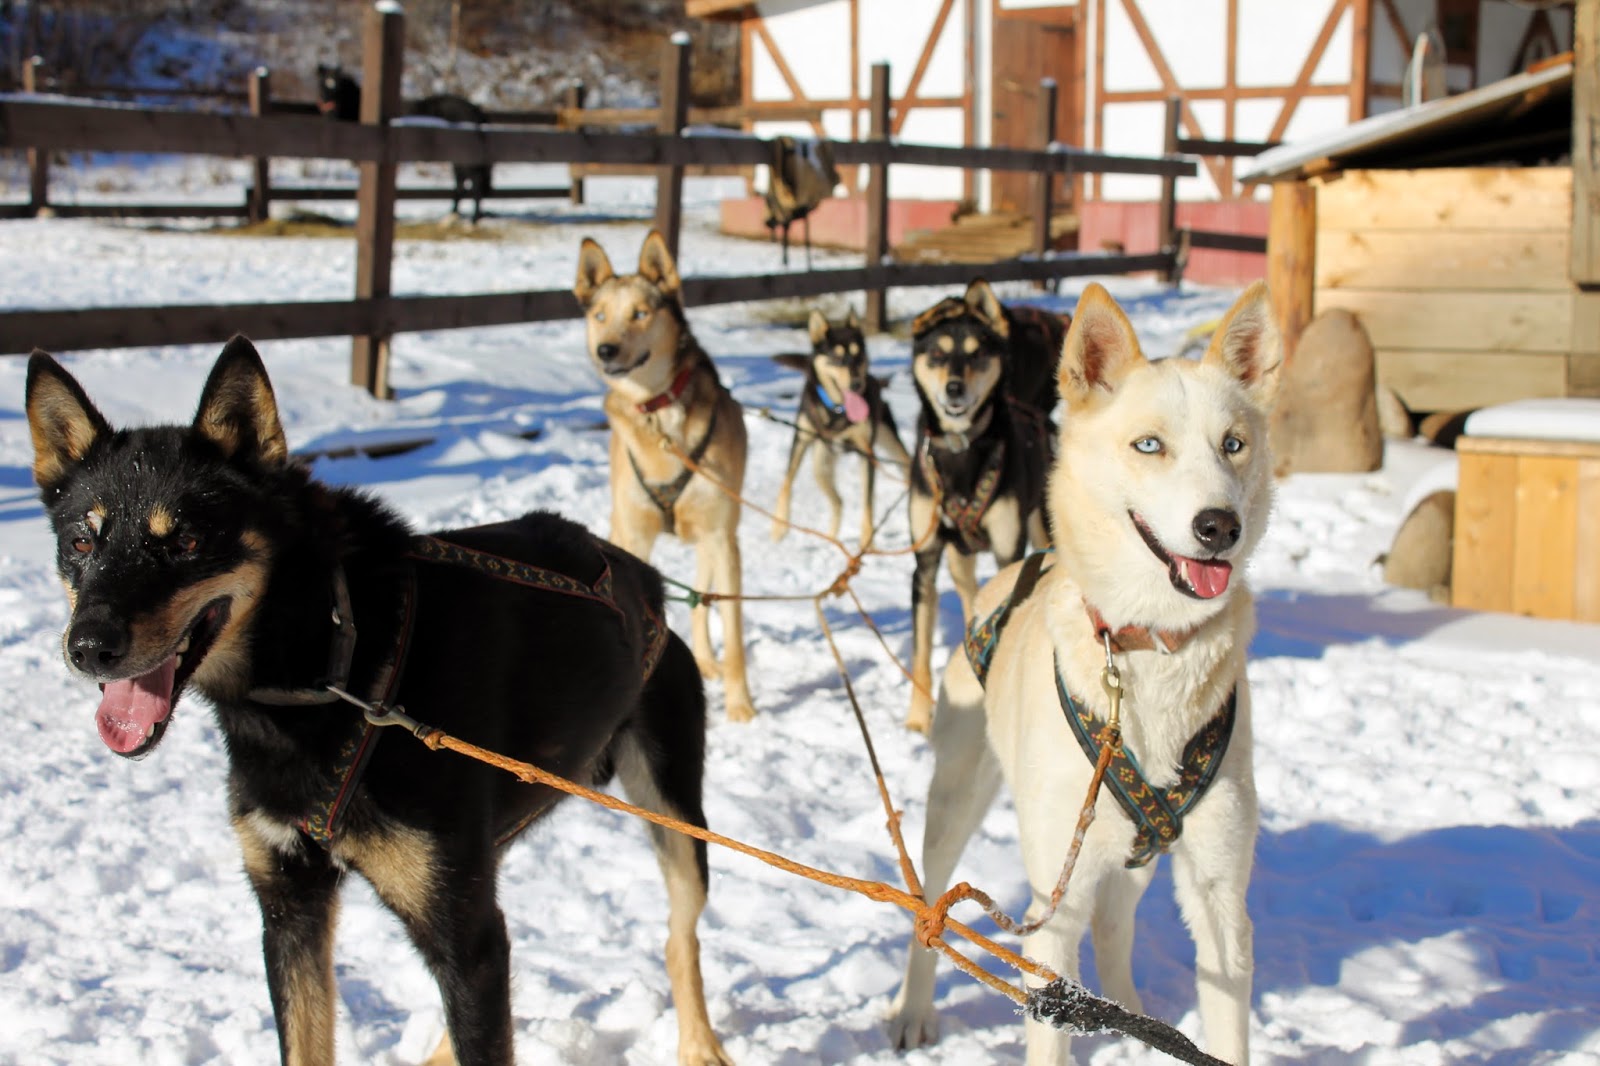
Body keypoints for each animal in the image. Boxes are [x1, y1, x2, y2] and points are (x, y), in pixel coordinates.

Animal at [28, 337, 729, 1062]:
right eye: (82, 541)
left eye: (187, 542)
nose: (88, 646)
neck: (333, 661)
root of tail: (648, 585)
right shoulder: (291, 910)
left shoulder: (464, 941)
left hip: (675, 824)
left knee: (679, 936)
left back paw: (699, 1042)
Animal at [576, 228, 755, 717]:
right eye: (600, 315)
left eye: (641, 313)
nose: (605, 350)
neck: (658, 414)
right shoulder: (636, 537)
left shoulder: (722, 537)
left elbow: (733, 634)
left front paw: (740, 705)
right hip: (623, 525)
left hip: (715, 537)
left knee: (702, 598)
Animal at [768, 305, 908, 541]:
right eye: (837, 357)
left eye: (858, 354)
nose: (856, 384)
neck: (837, 410)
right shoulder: (801, 437)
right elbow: (786, 481)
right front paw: (779, 526)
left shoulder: (866, 452)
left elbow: (868, 504)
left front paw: (867, 541)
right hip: (820, 466)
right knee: (838, 501)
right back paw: (831, 539)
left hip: (892, 447)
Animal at [908, 275, 1068, 729]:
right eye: (938, 354)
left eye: (977, 354)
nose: (954, 388)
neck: (961, 454)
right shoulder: (926, 558)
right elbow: (920, 648)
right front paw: (918, 716)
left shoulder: (1006, 549)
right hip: (958, 558)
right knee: (969, 598)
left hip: (1039, 531)